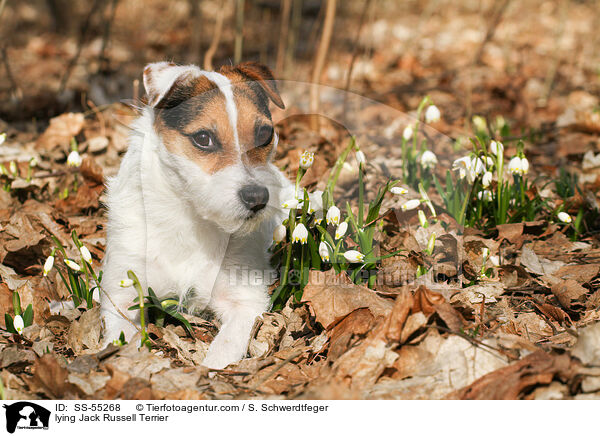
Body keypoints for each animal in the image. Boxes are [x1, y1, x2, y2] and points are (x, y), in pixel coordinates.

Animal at [101, 60, 292, 368]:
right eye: (203, 138)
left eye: (264, 135)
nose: (258, 198)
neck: (190, 220)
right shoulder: (121, 293)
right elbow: (120, 337)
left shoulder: (246, 301)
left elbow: (224, 349)